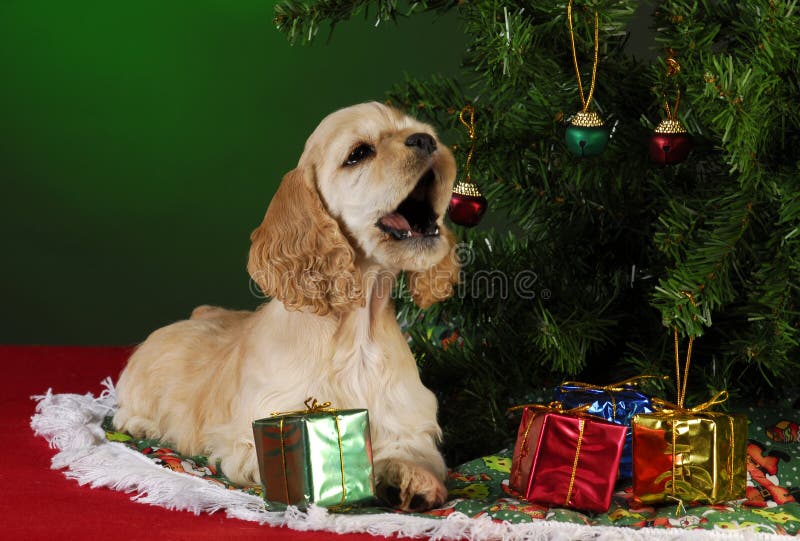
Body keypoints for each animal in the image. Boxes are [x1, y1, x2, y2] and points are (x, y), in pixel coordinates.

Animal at [115, 101, 460, 510]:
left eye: (422, 129)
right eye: (359, 153)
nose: (426, 141)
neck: (358, 330)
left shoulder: (410, 422)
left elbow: (413, 452)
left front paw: (411, 479)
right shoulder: (251, 437)